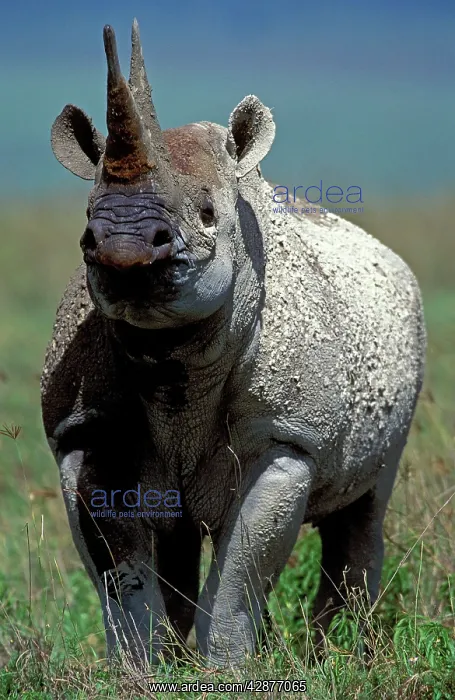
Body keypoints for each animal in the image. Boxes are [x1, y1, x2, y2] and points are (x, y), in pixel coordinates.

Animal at [41, 20, 426, 668]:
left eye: (206, 213)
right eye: (88, 225)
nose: (122, 246)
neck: (174, 363)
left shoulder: (288, 436)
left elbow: (244, 564)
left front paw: (229, 670)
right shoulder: (83, 430)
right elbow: (119, 572)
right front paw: (143, 671)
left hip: (409, 342)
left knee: (366, 505)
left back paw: (342, 652)